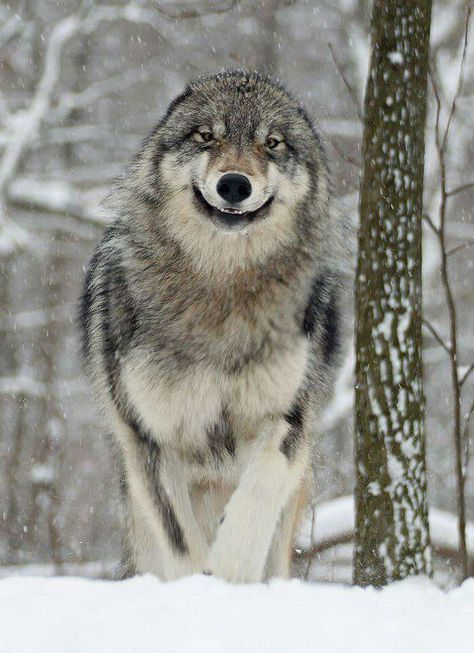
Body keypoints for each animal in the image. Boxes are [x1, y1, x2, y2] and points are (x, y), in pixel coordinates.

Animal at [79, 70, 346, 580]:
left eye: (272, 143)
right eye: (206, 136)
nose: (235, 184)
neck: (222, 290)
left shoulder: (286, 421)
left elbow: (255, 500)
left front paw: (227, 575)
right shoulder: (150, 438)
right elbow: (181, 542)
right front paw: (199, 585)